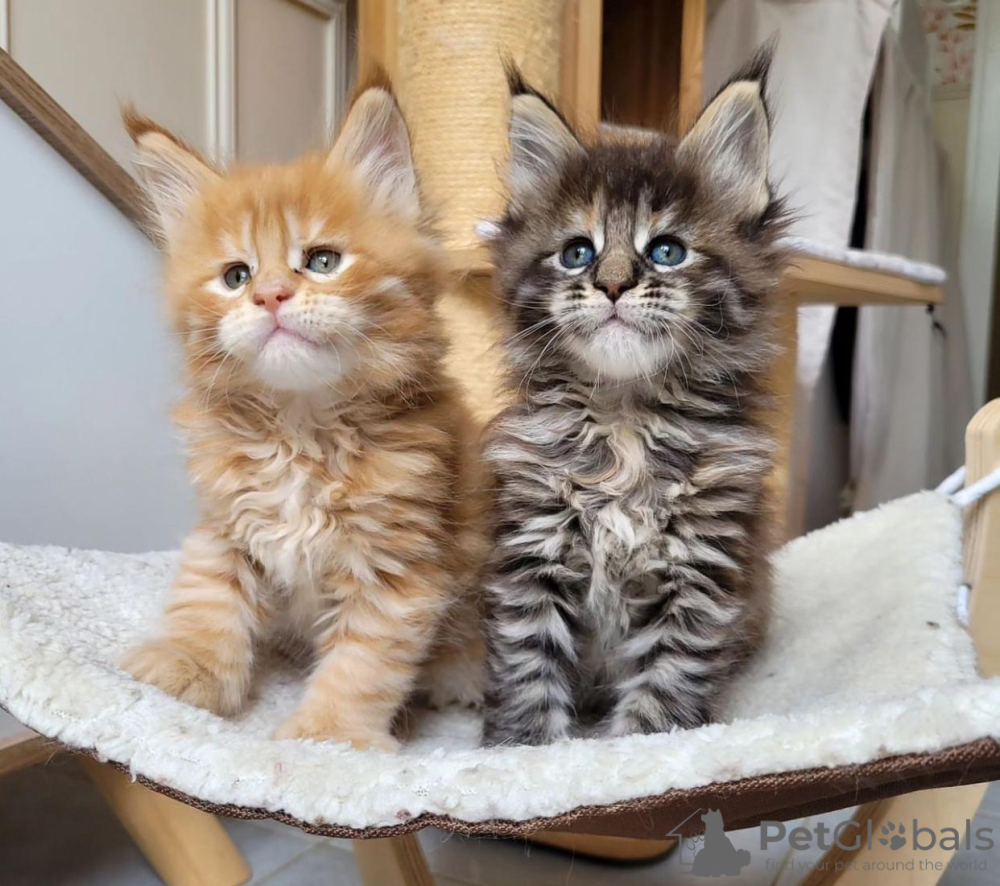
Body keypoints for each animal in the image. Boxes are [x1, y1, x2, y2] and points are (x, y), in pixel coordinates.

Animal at [121, 77, 486, 752]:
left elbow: (364, 662)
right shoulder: (225, 526)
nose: (270, 295)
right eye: (236, 276)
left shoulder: (395, 566)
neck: (301, 430)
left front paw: (330, 735)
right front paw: (188, 667)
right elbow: (207, 597)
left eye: (321, 261)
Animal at [481, 52, 789, 745]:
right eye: (577, 253)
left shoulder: (698, 570)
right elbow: (528, 666)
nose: (614, 284)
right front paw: (524, 750)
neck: (624, 417)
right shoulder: (534, 554)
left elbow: (665, 687)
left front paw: (635, 753)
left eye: (667, 251)